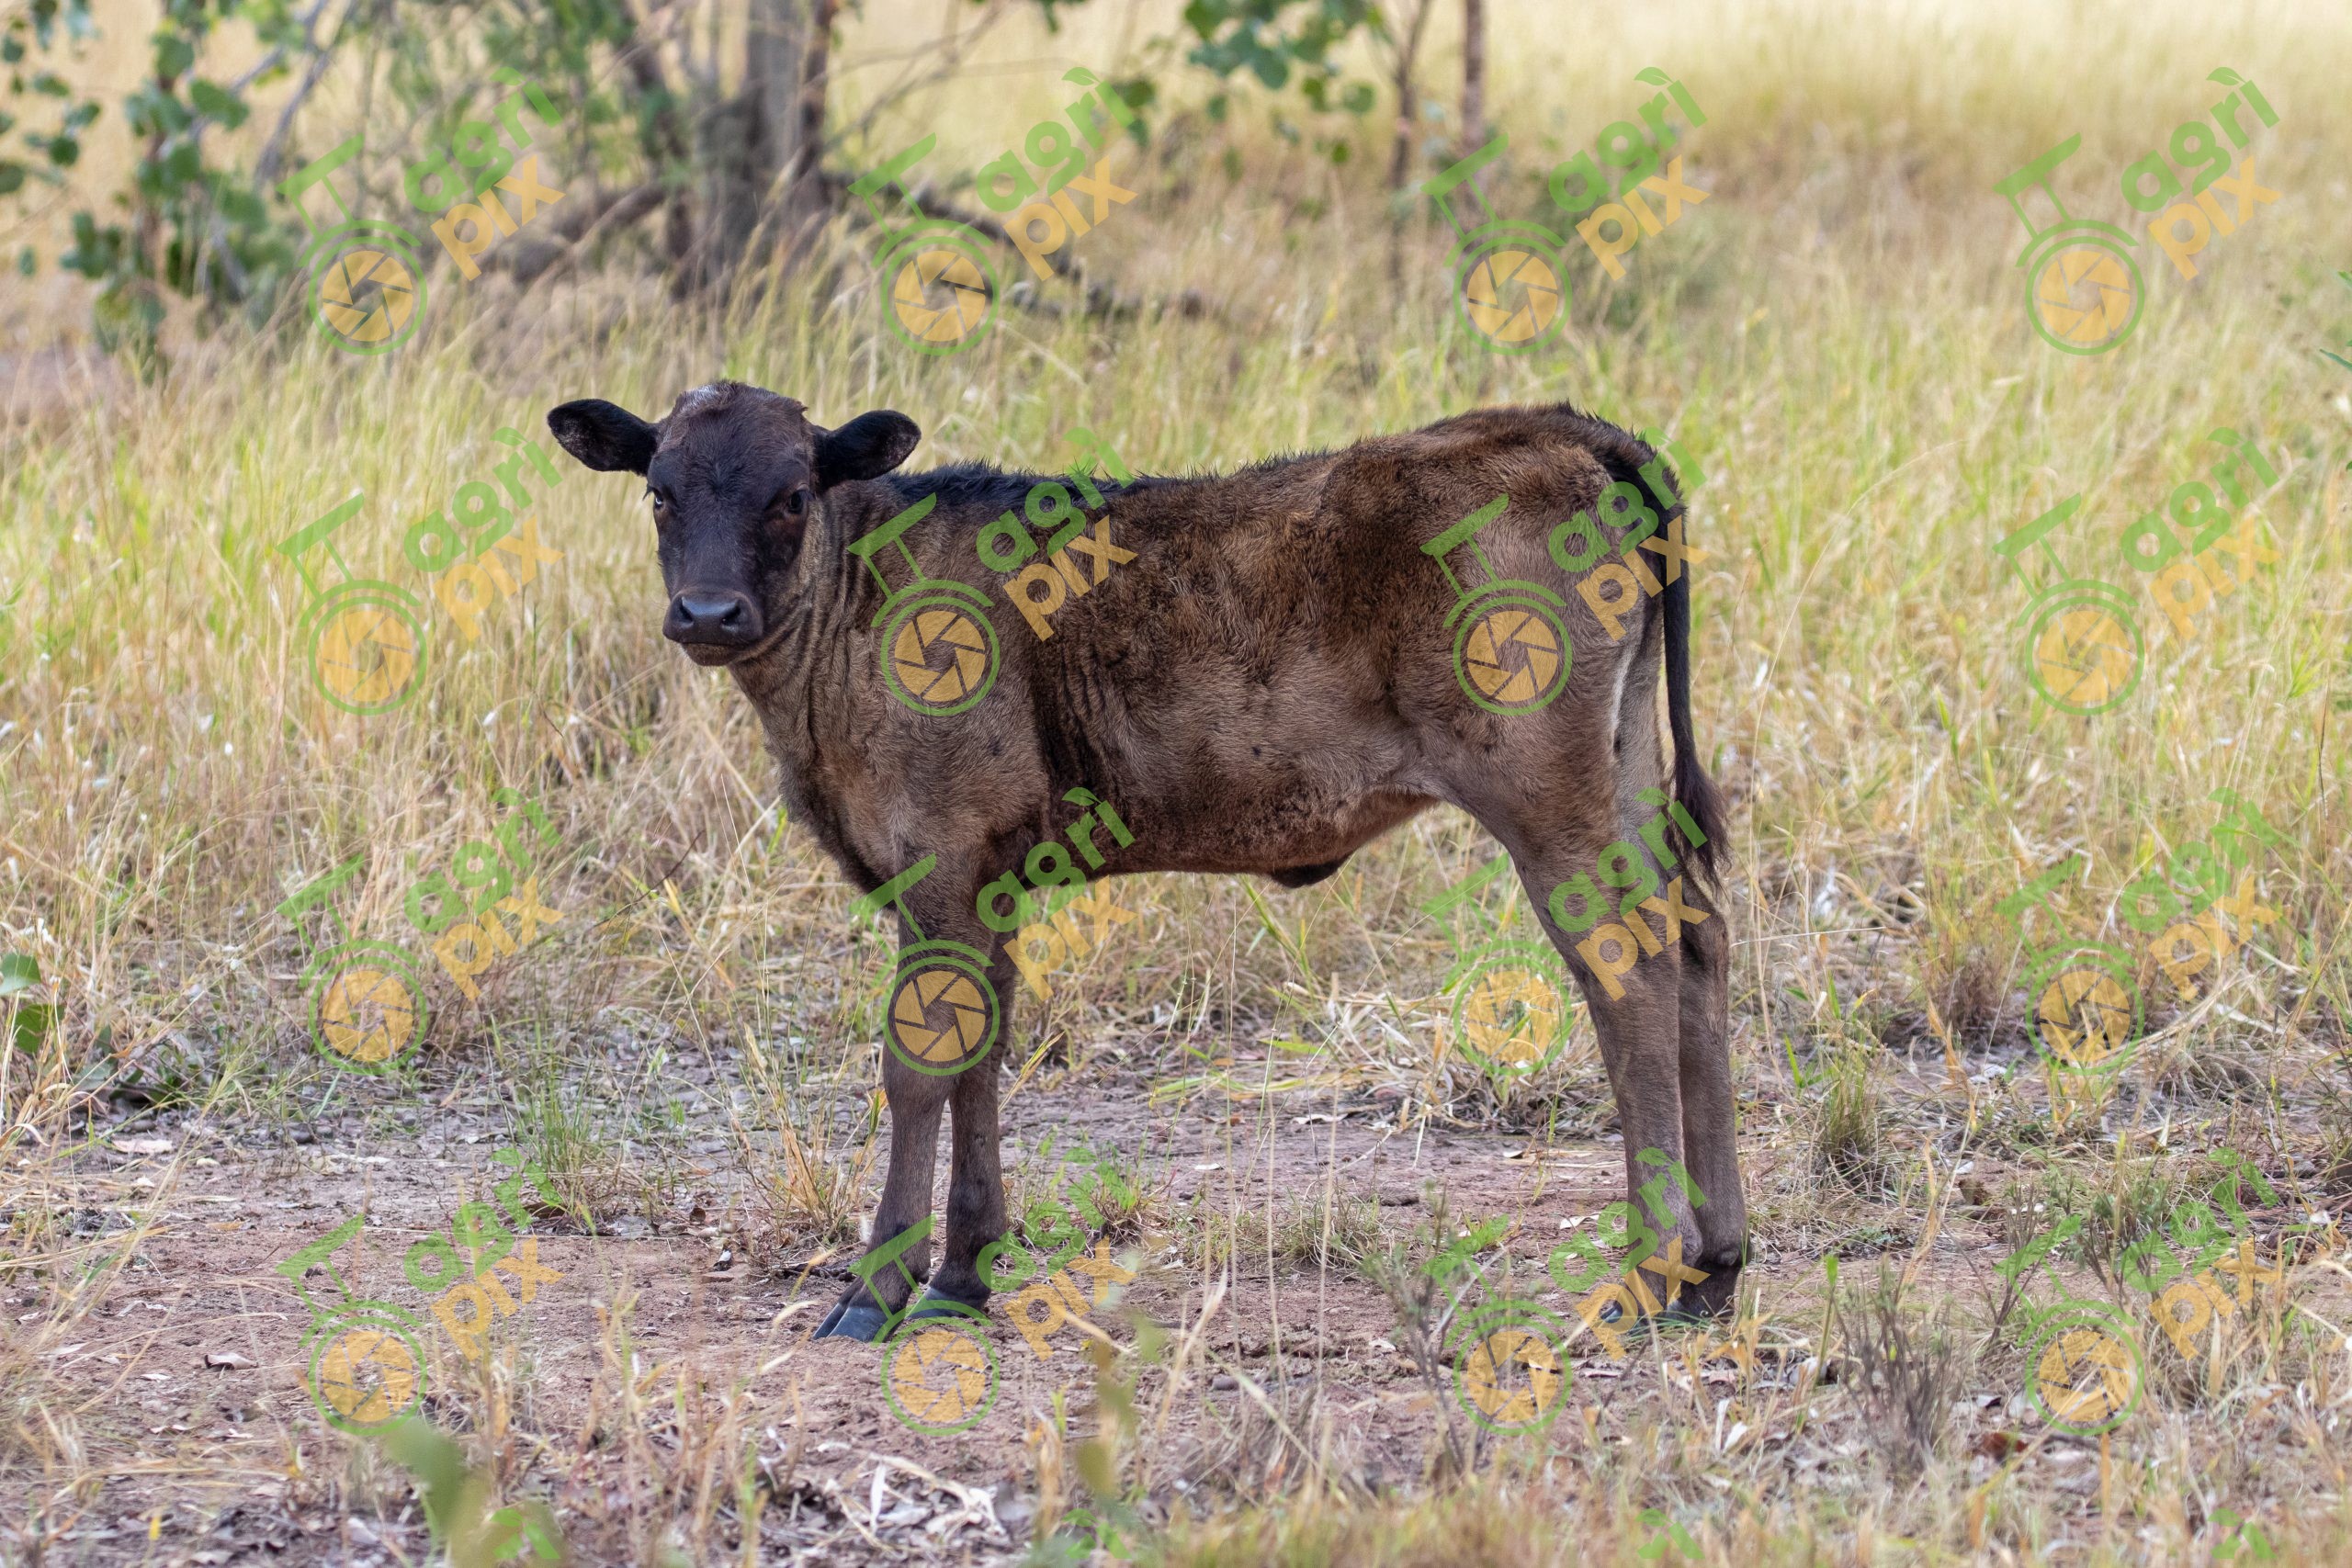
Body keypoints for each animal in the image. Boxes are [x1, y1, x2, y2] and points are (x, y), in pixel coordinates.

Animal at [545, 382, 1741, 1341]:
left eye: (791, 493)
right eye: (659, 492)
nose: (707, 613)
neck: (859, 601)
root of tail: (1556, 428)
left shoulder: (935, 865)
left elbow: (917, 1063)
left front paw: (875, 1291)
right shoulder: (984, 883)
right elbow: (984, 1054)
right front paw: (963, 1278)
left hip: (1550, 810)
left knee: (1627, 973)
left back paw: (1647, 1272)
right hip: (1627, 777)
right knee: (1695, 949)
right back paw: (1717, 1265)